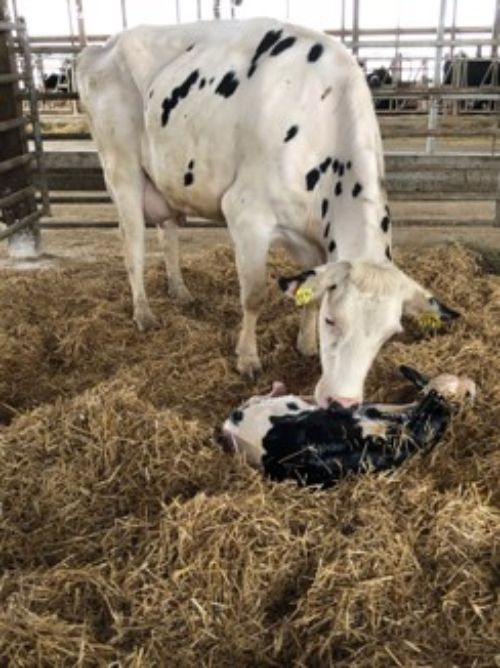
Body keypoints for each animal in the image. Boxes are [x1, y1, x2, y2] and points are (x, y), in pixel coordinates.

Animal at [76, 19, 458, 408]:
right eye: (332, 320)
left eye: (387, 336)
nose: (342, 403)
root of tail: (101, 47)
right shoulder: (247, 214)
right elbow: (254, 295)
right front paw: (247, 358)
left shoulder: (314, 240)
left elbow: (310, 288)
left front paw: (306, 344)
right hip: (121, 167)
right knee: (133, 245)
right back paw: (144, 313)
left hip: (165, 181)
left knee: (167, 234)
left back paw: (180, 290)